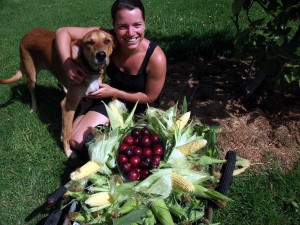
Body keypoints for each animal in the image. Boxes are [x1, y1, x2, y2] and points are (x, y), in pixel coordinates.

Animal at [0, 27, 115, 156]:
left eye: (107, 41)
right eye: (89, 42)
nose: (101, 55)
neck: (88, 68)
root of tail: (28, 33)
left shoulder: (91, 93)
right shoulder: (67, 106)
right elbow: (68, 132)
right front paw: (68, 151)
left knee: (60, 83)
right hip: (31, 75)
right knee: (32, 91)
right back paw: (33, 107)